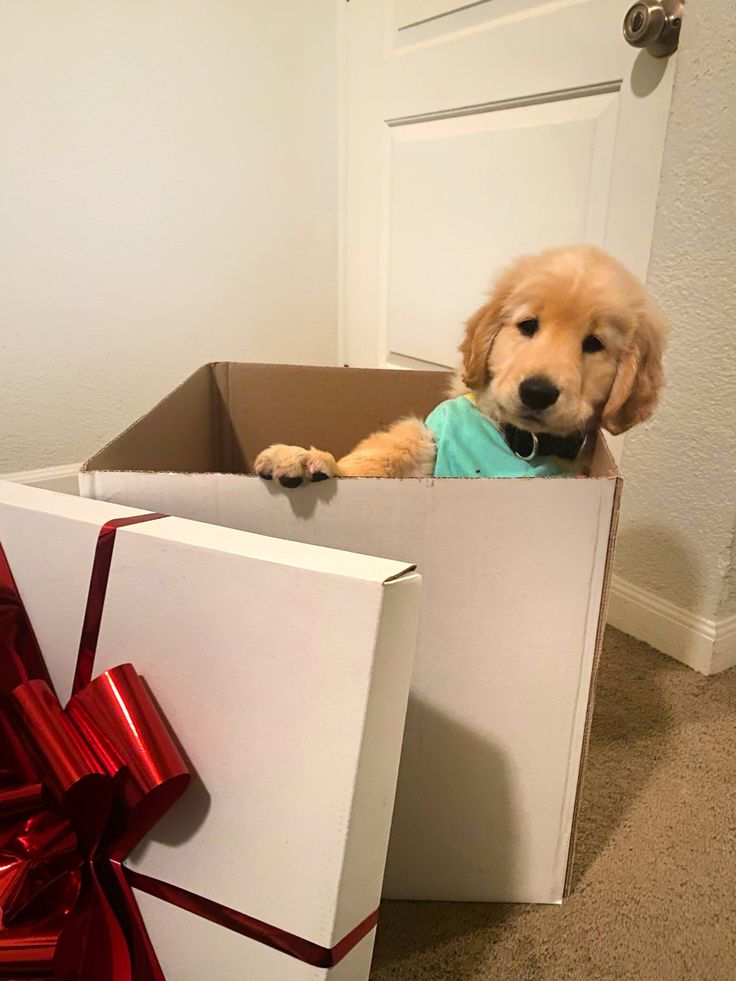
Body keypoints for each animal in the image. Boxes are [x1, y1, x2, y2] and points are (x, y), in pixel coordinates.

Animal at [256, 245, 668, 482]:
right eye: (528, 325)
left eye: (594, 344)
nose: (537, 392)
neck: (518, 442)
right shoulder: (426, 438)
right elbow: (380, 459)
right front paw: (305, 459)